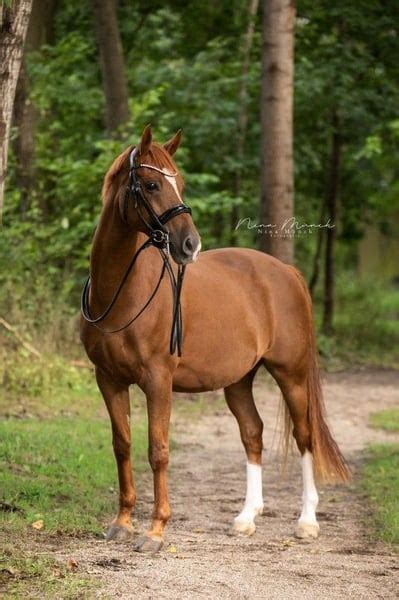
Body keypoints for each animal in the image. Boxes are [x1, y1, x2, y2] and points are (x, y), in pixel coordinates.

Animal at [81, 125, 350, 552]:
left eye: (179, 183)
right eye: (152, 184)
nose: (190, 244)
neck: (121, 295)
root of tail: (285, 272)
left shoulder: (158, 381)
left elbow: (158, 450)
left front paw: (155, 531)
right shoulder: (108, 380)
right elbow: (122, 445)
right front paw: (122, 523)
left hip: (291, 374)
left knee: (304, 436)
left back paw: (307, 521)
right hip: (239, 380)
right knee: (253, 434)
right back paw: (246, 518)